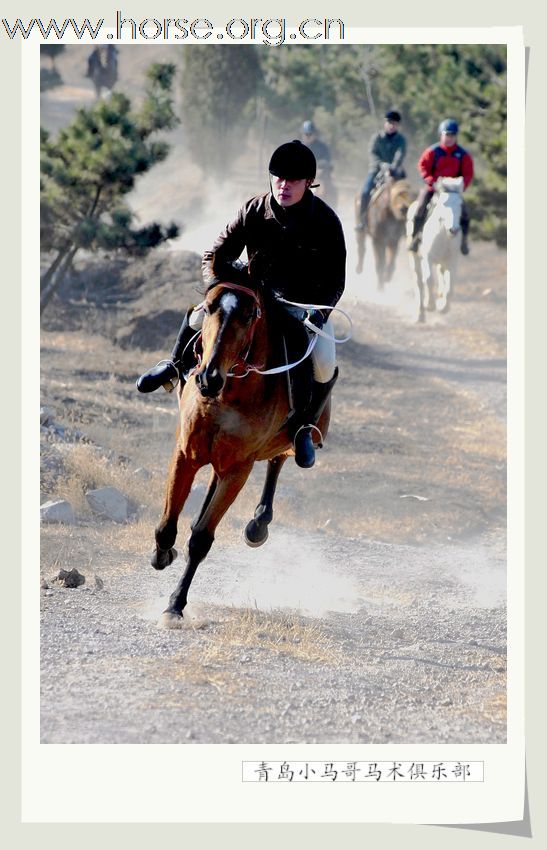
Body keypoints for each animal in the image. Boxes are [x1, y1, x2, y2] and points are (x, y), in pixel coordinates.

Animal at [151, 282, 334, 628]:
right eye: (209, 307)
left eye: (250, 316)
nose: (208, 377)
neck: (226, 395)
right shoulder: (185, 454)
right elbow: (167, 526)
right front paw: (162, 555)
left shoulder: (239, 470)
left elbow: (201, 540)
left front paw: (174, 605)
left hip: (286, 442)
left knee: (279, 459)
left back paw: (258, 524)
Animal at [408, 176, 464, 322]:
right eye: (444, 204)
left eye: (460, 204)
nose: (453, 230)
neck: (443, 235)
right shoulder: (428, 257)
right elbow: (428, 280)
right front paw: (431, 305)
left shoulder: (452, 261)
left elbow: (450, 286)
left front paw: (443, 307)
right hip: (416, 258)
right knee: (419, 283)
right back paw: (420, 314)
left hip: (441, 263)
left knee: (441, 278)